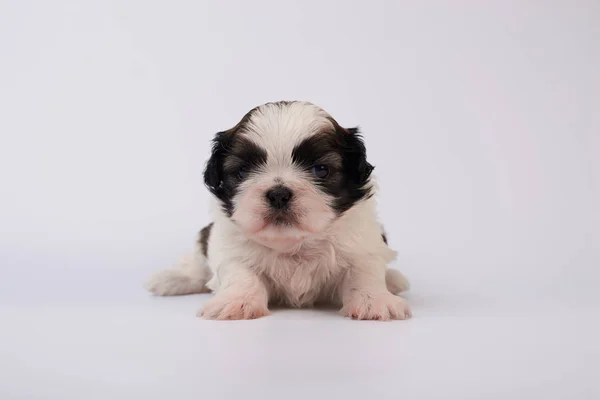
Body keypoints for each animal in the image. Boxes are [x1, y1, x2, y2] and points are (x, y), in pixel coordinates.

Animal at [145, 101, 410, 320]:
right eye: (242, 172)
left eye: (321, 170)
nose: (279, 194)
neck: (293, 244)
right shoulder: (230, 246)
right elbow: (241, 272)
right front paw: (237, 302)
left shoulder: (363, 244)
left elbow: (363, 271)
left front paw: (374, 300)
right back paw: (172, 279)